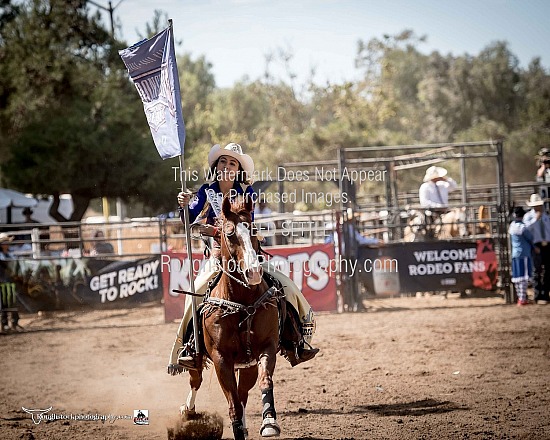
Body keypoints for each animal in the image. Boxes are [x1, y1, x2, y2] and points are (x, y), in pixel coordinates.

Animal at [182, 194, 282, 438]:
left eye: (253, 229)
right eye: (229, 233)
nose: (253, 272)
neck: (241, 303)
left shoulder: (266, 348)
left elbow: (265, 381)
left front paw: (269, 422)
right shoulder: (221, 359)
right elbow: (232, 403)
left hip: (247, 365)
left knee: (243, 391)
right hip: (197, 358)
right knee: (196, 380)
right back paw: (188, 410)